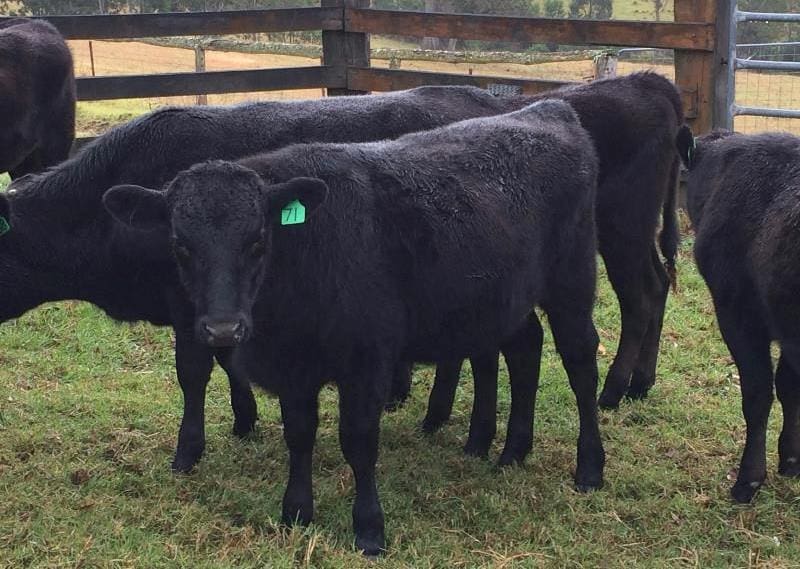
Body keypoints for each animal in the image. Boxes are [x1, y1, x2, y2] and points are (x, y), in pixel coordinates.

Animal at [102, 100, 605, 555]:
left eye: (258, 240)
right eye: (180, 245)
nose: (223, 330)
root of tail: (548, 109)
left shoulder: (367, 362)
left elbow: (358, 442)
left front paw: (368, 528)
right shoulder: (294, 369)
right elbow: (299, 434)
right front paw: (296, 511)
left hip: (572, 280)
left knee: (581, 363)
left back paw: (590, 467)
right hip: (506, 298)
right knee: (525, 349)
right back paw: (512, 450)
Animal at [406, 71, 685, 458]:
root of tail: (646, 81)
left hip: (622, 228)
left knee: (638, 301)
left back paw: (613, 389)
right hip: (634, 235)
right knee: (657, 284)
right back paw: (640, 383)